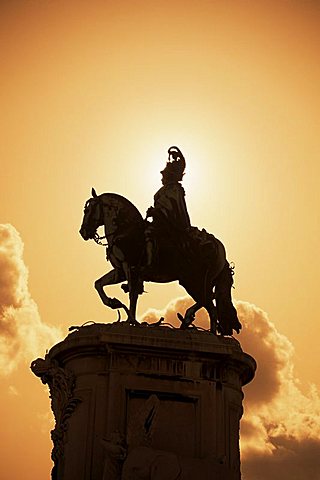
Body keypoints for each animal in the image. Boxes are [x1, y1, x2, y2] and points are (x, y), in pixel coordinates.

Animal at [79, 189, 240, 336]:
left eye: (88, 210)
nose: (83, 232)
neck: (125, 231)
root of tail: (219, 249)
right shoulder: (120, 272)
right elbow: (99, 284)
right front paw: (113, 303)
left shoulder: (130, 267)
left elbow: (132, 293)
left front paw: (130, 321)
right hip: (196, 282)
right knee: (210, 305)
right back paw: (204, 330)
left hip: (194, 281)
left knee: (208, 301)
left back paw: (193, 322)